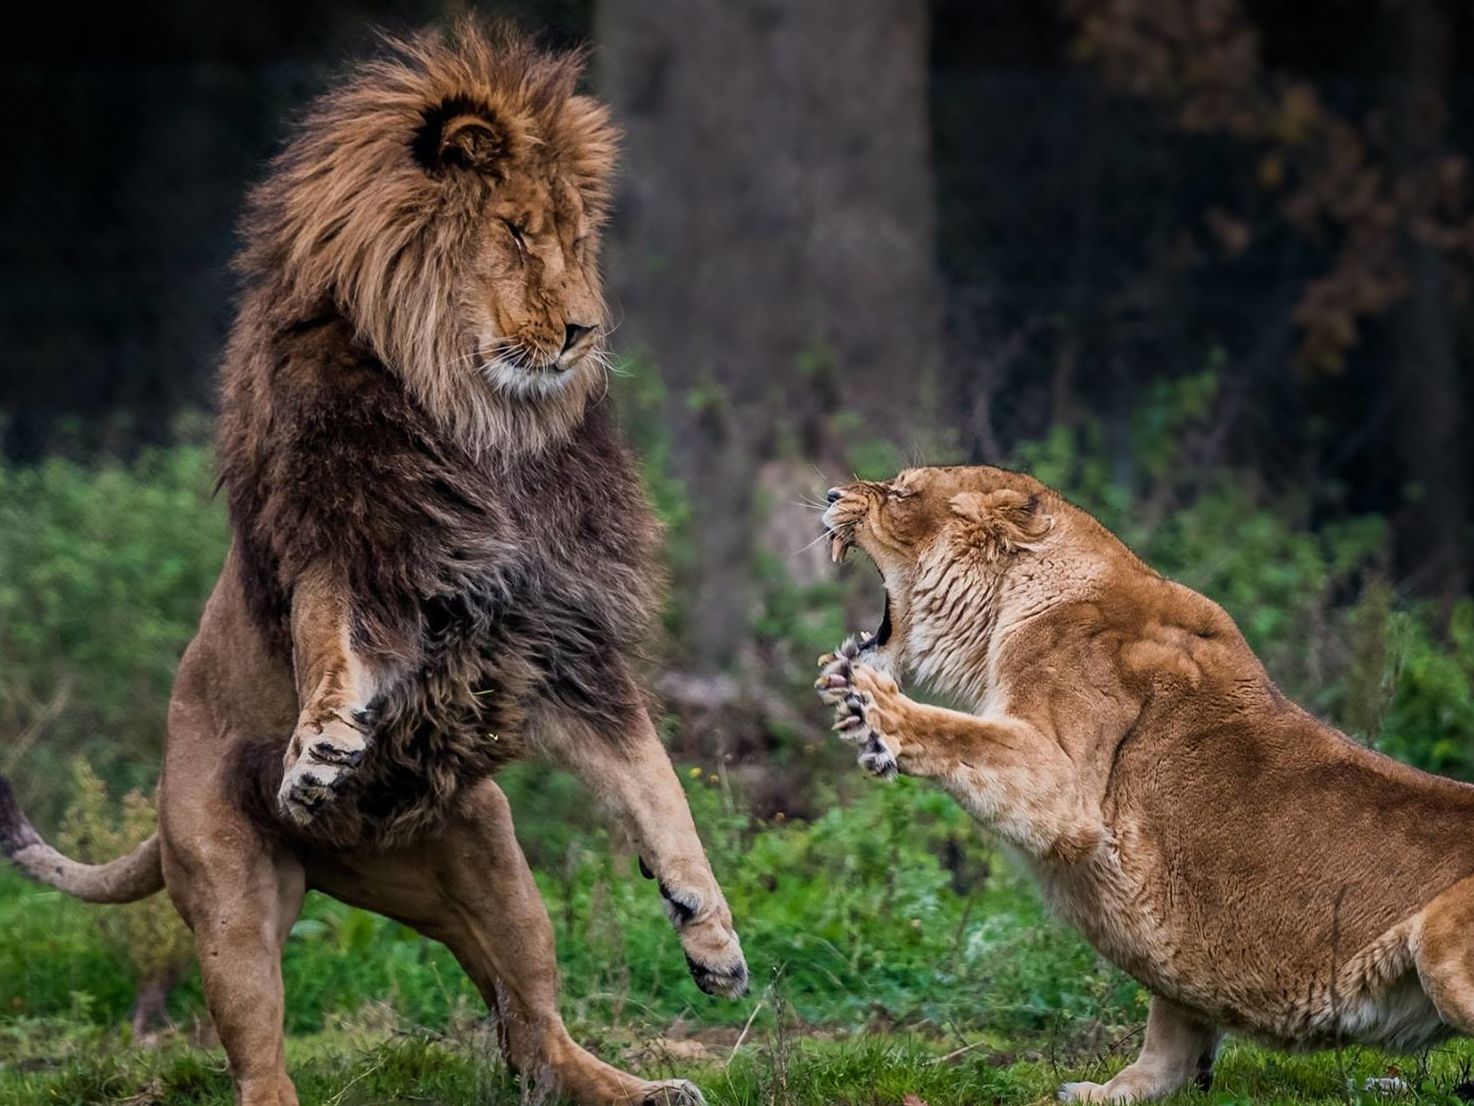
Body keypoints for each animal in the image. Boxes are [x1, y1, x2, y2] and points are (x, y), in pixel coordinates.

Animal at [2, 23, 748, 1106]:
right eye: (516, 232)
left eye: (576, 240)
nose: (582, 333)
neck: (485, 423)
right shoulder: (348, 551)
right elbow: (329, 643)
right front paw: (320, 742)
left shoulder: (562, 645)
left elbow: (657, 781)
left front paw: (711, 930)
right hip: (230, 904)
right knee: (261, 1062)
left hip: (490, 861)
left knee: (530, 1031)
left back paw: (639, 1087)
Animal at [825, 463, 1474, 1103]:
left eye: (903, 492)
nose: (830, 494)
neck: (1019, 603)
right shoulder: (1183, 951)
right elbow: (1172, 1034)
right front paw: (1114, 1091)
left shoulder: (1067, 787)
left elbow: (965, 736)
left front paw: (875, 708)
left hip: (1441, 944)